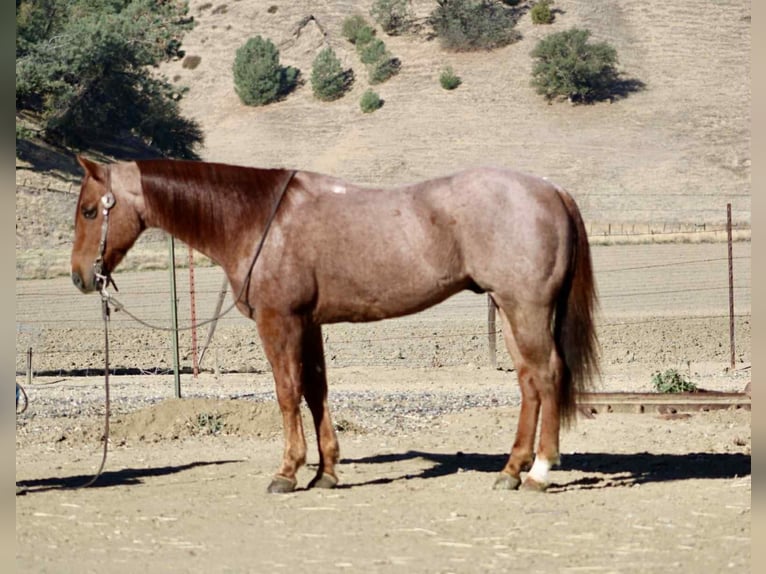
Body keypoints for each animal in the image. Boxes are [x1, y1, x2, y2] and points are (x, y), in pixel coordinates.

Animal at [70, 156, 599, 493]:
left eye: (90, 210)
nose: (80, 277)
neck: (257, 220)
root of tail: (551, 189)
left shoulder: (279, 321)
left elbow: (287, 393)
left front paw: (287, 472)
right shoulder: (309, 324)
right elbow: (316, 391)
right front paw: (325, 471)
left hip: (526, 308)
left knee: (547, 375)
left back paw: (539, 472)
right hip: (509, 310)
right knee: (529, 382)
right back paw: (511, 470)